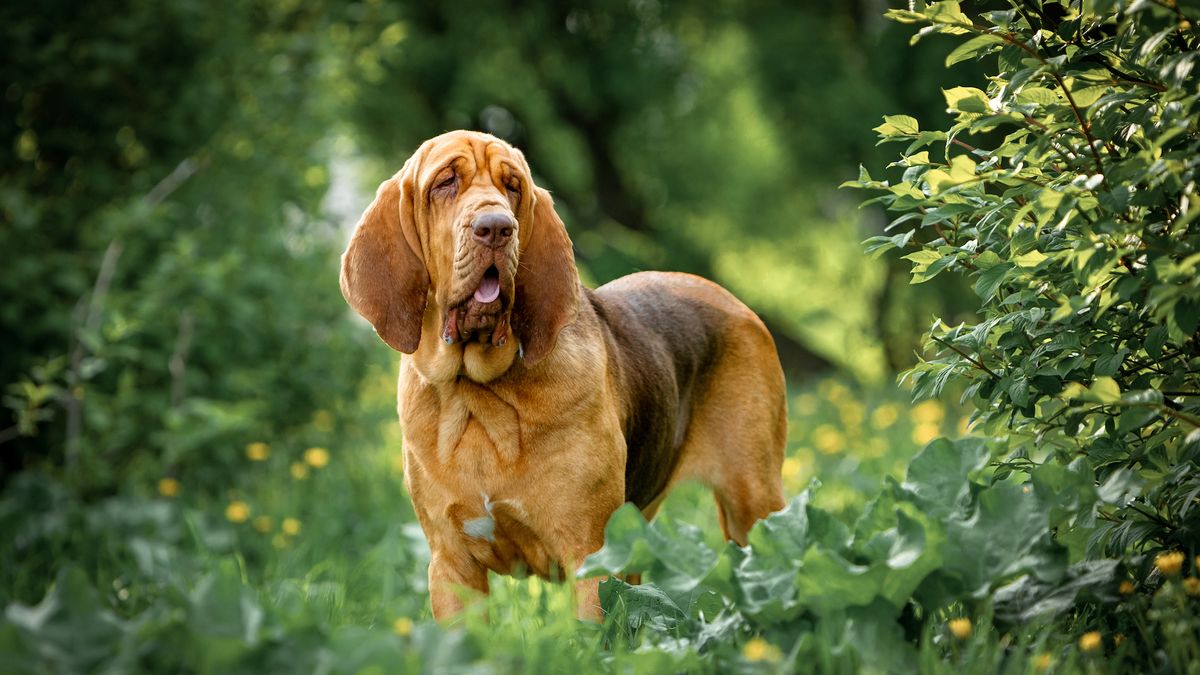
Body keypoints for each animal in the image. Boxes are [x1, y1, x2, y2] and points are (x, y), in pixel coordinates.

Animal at [338, 128, 787, 619]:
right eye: (445, 182)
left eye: (512, 186)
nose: (496, 228)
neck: (478, 394)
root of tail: (737, 303)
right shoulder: (452, 566)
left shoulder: (590, 557)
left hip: (753, 502)